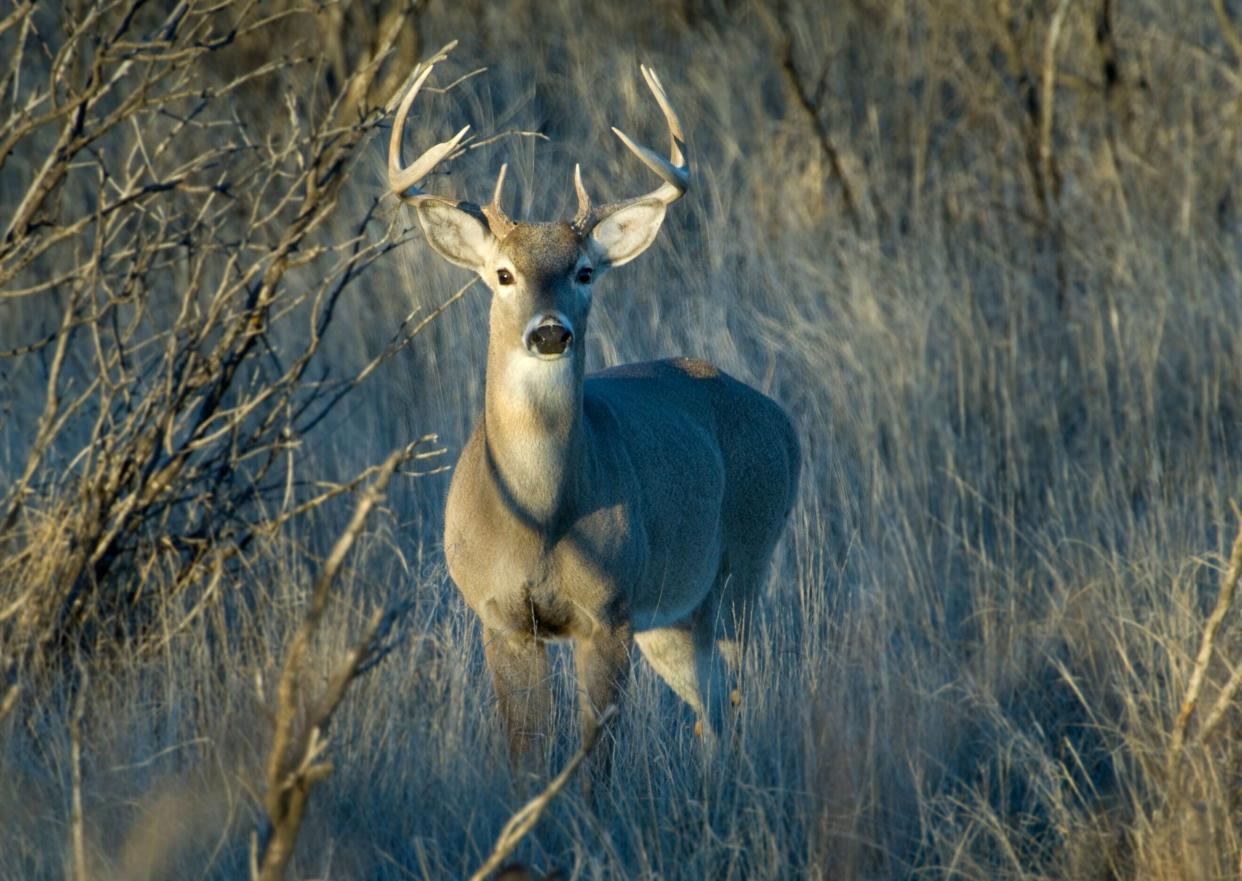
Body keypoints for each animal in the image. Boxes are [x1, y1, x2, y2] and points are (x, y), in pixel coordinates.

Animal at [387, 49, 799, 770]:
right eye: (502, 273)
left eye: (583, 271)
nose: (550, 333)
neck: (540, 517)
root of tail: (785, 423)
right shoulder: (500, 615)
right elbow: (527, 754)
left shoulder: (607, 611)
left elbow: (593, 760)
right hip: (675, 611)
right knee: (710, 713)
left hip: (744, 565)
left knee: (739, 699)